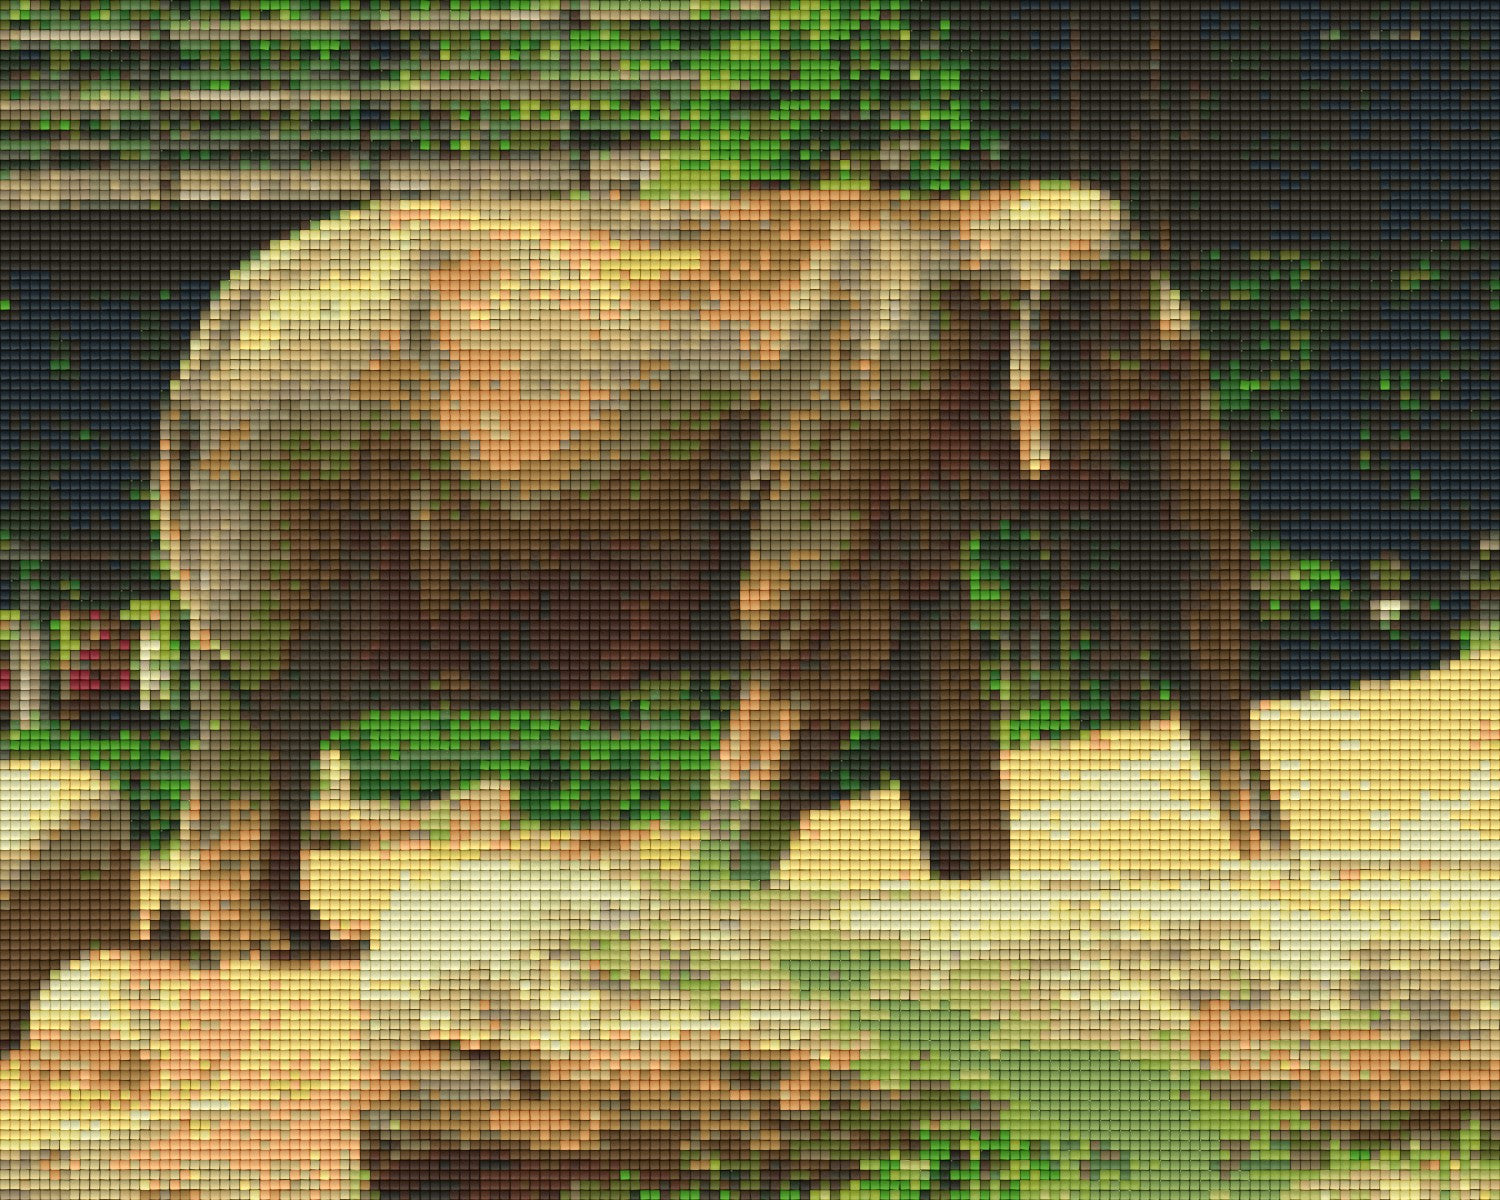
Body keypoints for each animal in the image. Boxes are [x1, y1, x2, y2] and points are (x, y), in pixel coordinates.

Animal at [153, 181, 1291, 956]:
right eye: (1171, 375)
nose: (1279, 876)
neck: (963, 221)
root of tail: (205, 339)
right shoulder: (849, 430)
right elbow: (814, 651)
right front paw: (713, 912)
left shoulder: (902, 468)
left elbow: (935, 688)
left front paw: (981, 906)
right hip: (291, 478)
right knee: (268, 694)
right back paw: (252, 948)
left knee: (281, 710)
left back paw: (288, 935)